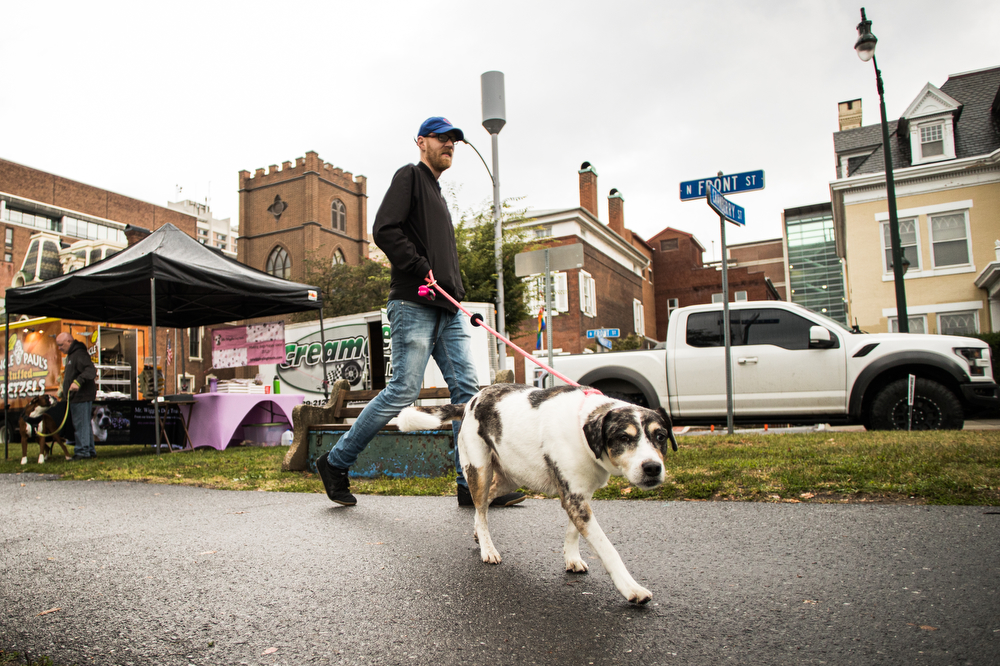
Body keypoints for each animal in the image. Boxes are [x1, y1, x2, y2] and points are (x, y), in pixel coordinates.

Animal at [398, 382, 680, 604]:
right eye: (623, 437)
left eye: (660, 436)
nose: (652, 468)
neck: (582, 427)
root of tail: (471, 402)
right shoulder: (575, 498)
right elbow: (607, 549)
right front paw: (631, 588)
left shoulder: (579, 494)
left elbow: (572, 531)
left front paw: (572, 558)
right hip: (480, 470)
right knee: (480, 505)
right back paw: (488, 548)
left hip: (510, 478)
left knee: (485, 505)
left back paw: (479, 532)